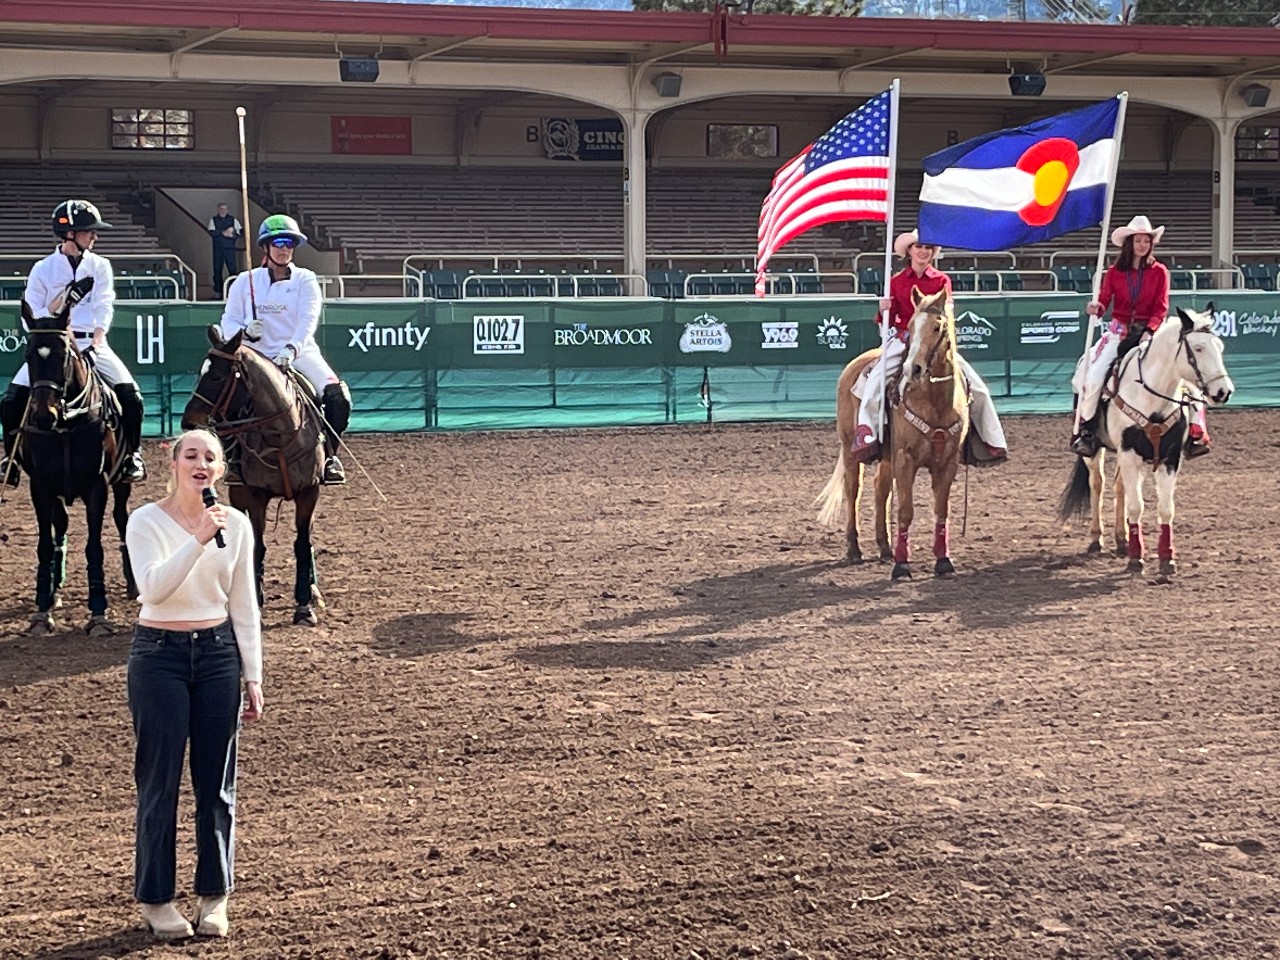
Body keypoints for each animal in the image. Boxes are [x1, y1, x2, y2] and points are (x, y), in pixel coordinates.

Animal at [14, 296, 137, 634]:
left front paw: (99, 614)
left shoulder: (98, 485)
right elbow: (45, 544)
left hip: (121, 483)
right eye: (29, 355)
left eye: (63, 355)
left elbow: (94, 547)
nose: (45, 416)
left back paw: (134, 585)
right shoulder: (41, 486)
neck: (68, 423)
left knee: (122, 520)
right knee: (62, 524)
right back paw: (55, 589)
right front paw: (42, 610)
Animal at [183, 327, 327, 627]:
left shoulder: (309, 492)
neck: (280, 436)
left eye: (216, 376)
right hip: (238, 493)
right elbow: (257, 546)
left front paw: (304, 606)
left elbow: (302, 544)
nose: (188, 421)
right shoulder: (255, 496)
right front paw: (256, 604)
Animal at [819, 288, 967, 578]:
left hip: (886, 456)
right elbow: (906, 510)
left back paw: (884, 547)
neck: (935, 403)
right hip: (852, 451)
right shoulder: (905, 458)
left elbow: (941, 510)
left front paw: (943, 560)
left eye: (937, 327)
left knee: (881, 489)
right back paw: (854, 549)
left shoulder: (947, 461)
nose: (914, 369)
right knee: (853, 491)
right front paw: (902, 565)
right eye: (910, 327)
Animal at [1054, 304, 1233, 576]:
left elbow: (1165, 509)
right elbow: (1136, 506)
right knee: (1098, 483)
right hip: (1095, 450)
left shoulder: (1170, 458)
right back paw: (1096, 539)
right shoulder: (1129, 452)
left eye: (1220, 346)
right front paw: (1136, 559)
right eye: (1199, 348)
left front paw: (1166, 559)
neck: (1152, 399)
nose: (1224, 391)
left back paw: (1122, 540)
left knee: (1119, 486)